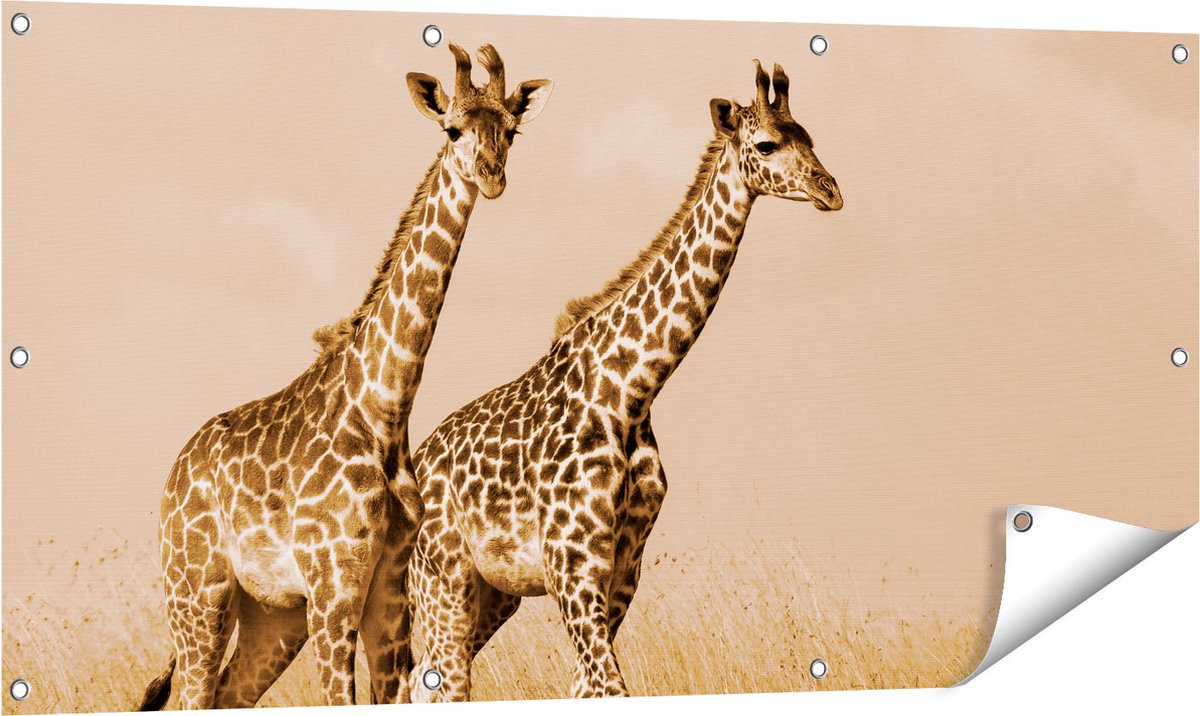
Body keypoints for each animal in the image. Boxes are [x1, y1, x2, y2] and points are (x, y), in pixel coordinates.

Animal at [135, 44, 553, 709]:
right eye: (452, 128)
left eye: (510, 131)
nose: (491, 176)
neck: (384, 405)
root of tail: (173, 477)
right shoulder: (334, 589)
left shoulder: (387, 594)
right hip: (197, 594)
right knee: (195, 693)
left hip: (271, 614)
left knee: (229, 694)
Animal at [401, 60, 843, 701]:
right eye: (766, 144)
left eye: (808, 136)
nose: (831, 190)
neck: (632, 390)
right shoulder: (572, 561)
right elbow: (607, 684)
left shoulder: (623, 565)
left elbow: (588, 685)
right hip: (444, 579)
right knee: (443, 678)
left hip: (496, 594)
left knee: (426, 679)